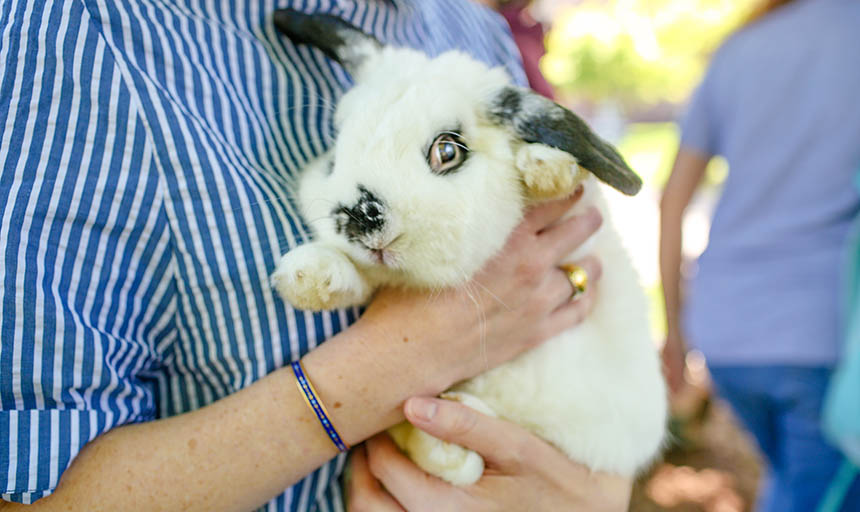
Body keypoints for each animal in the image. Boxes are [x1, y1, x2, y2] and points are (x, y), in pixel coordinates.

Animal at [272, 10, 668, 486]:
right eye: (335, 156)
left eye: (447, 151)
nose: (362, 218)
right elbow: (357, 278)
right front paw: (309, 277)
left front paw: (546, 166)